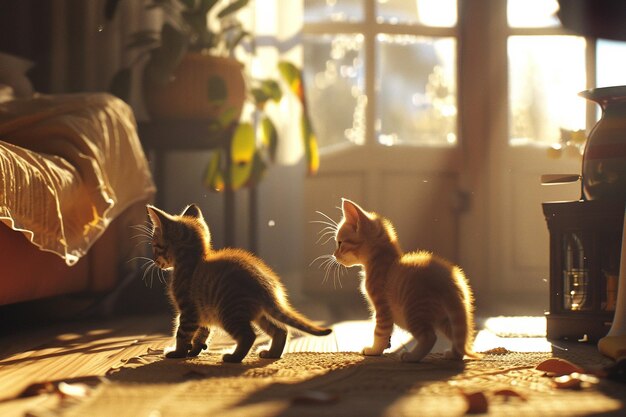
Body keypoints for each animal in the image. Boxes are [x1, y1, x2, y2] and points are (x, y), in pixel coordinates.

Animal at [147, 202, 332, 360]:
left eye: (155, 246)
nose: (154, 260)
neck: (192, 260)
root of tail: (265, 287)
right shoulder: (202, 312)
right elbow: (202, 332)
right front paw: (194, 350)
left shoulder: (189, 311)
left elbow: (183, 333)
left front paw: (178, 352)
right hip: (259, 314)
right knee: (281, 329)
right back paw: (272, 353)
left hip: (229, 312)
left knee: (249, 335)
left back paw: (234, 357)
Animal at [334, 198, 476, 360]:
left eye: (340, 243)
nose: (334, 255)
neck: (382, 261)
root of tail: (450, 283)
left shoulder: (383, 308)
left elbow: (380, 331)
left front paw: (374, 350)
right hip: (445, 317)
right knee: (459, 337)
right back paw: (453, 355)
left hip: (414, 310)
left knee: (429, 337)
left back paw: (412, 357)